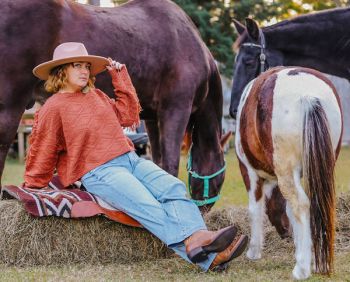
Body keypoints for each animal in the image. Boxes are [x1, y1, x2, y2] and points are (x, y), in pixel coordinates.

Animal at [237, 66, 344, 280]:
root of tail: (308, 95)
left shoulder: (249, 172)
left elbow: (255, 209)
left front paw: (253, 251)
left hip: (285, 171)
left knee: (301, 205)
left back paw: (302, 269)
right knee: (319, 204)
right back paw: (318, 263)